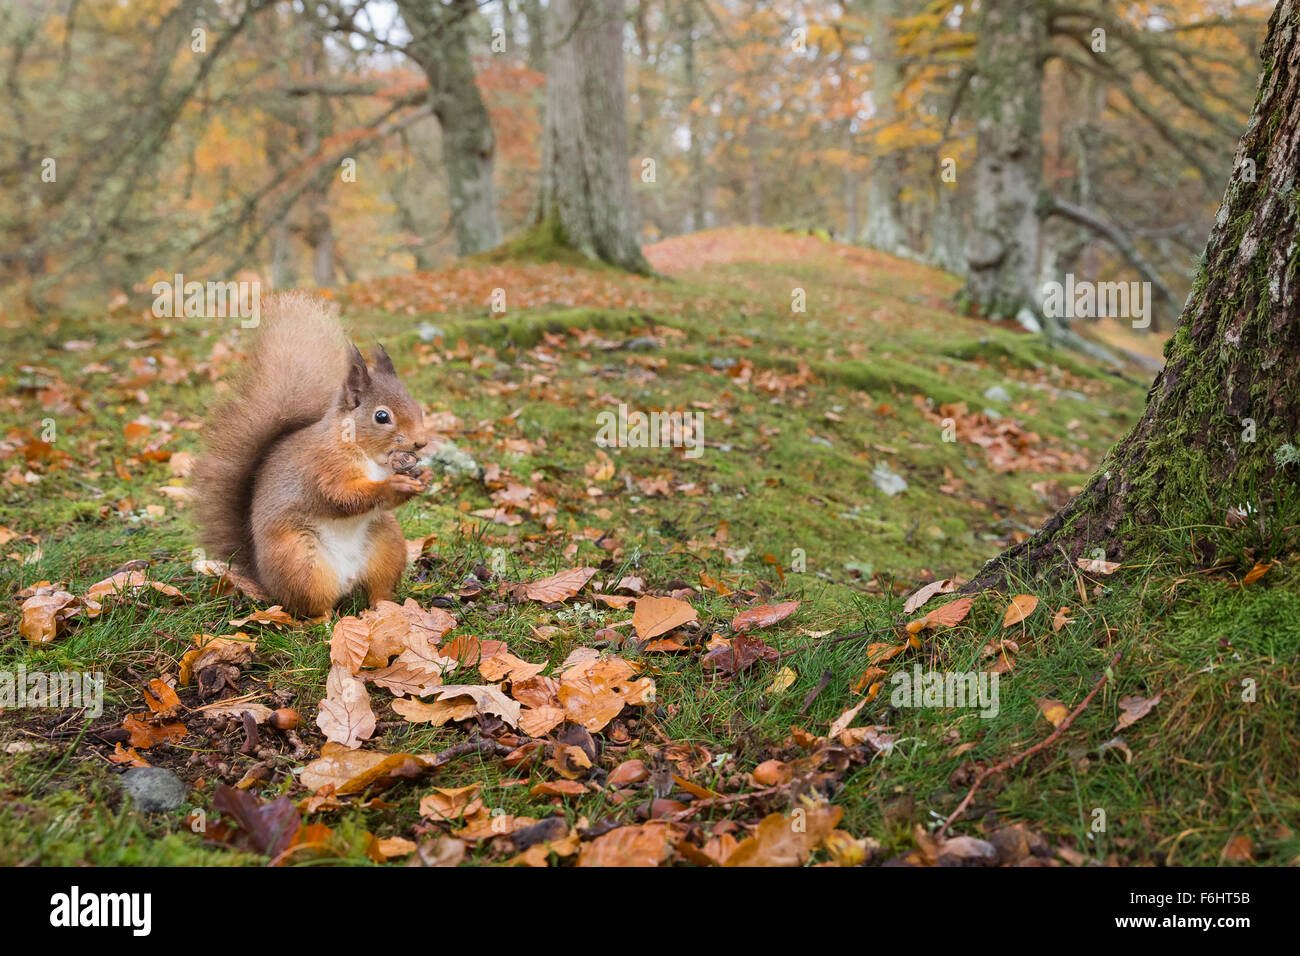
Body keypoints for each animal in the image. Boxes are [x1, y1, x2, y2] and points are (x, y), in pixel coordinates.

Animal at [192, 295, 428, 616]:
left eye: (417, 405)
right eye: (382, 416)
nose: (421, 442)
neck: (370, 456)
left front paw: (422, 475)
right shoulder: (323, 466)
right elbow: (341, 496)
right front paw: (395, 485)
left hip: (387, 542)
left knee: (378, 589)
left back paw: (385, 610)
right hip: (301, 560)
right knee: (314, 607)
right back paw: (325, 619)